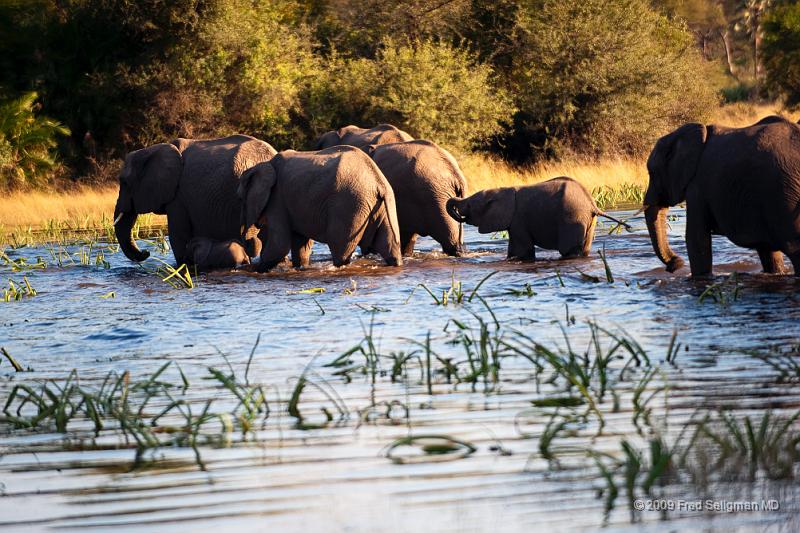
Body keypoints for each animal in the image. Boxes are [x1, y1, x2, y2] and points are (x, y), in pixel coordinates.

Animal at [236, 144, 400, 270]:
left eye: (241, 199)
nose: (251, 240)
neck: (264, 164)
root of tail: (378, 181)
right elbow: (300, 245)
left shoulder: (277, 199)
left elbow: (279, 245)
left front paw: (254, 270)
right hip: (381, 206)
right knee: (390, 245)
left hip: (349, 206)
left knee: (340, 251)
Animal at [446, 178, 628, 260]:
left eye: (470, 206)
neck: (501, 190)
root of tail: (592, 205)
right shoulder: (514, 222)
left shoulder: (518, 219)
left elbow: (523, 251)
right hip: (588, 221)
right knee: (584, 249)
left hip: (571, 217)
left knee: (569, 250)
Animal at [644, 115, 800, 274]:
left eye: (651, 173)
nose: (674, 264)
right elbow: (768, 251)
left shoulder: (697, 185)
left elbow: (696, 240)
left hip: (785, 194)